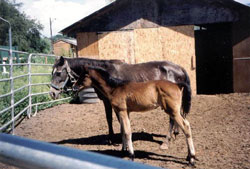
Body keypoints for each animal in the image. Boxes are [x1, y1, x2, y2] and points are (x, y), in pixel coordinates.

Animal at [49, 56, 192, 145]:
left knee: (172, 119)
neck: (106, 73)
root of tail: (179, 68)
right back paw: (175, 133)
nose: (52, 93)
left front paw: (115, 140)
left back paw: (167, 140)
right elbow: (109, 119)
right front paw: (113, 138)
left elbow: (115, 119)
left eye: (58, 73)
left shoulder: (112, 102)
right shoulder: (107, 102)